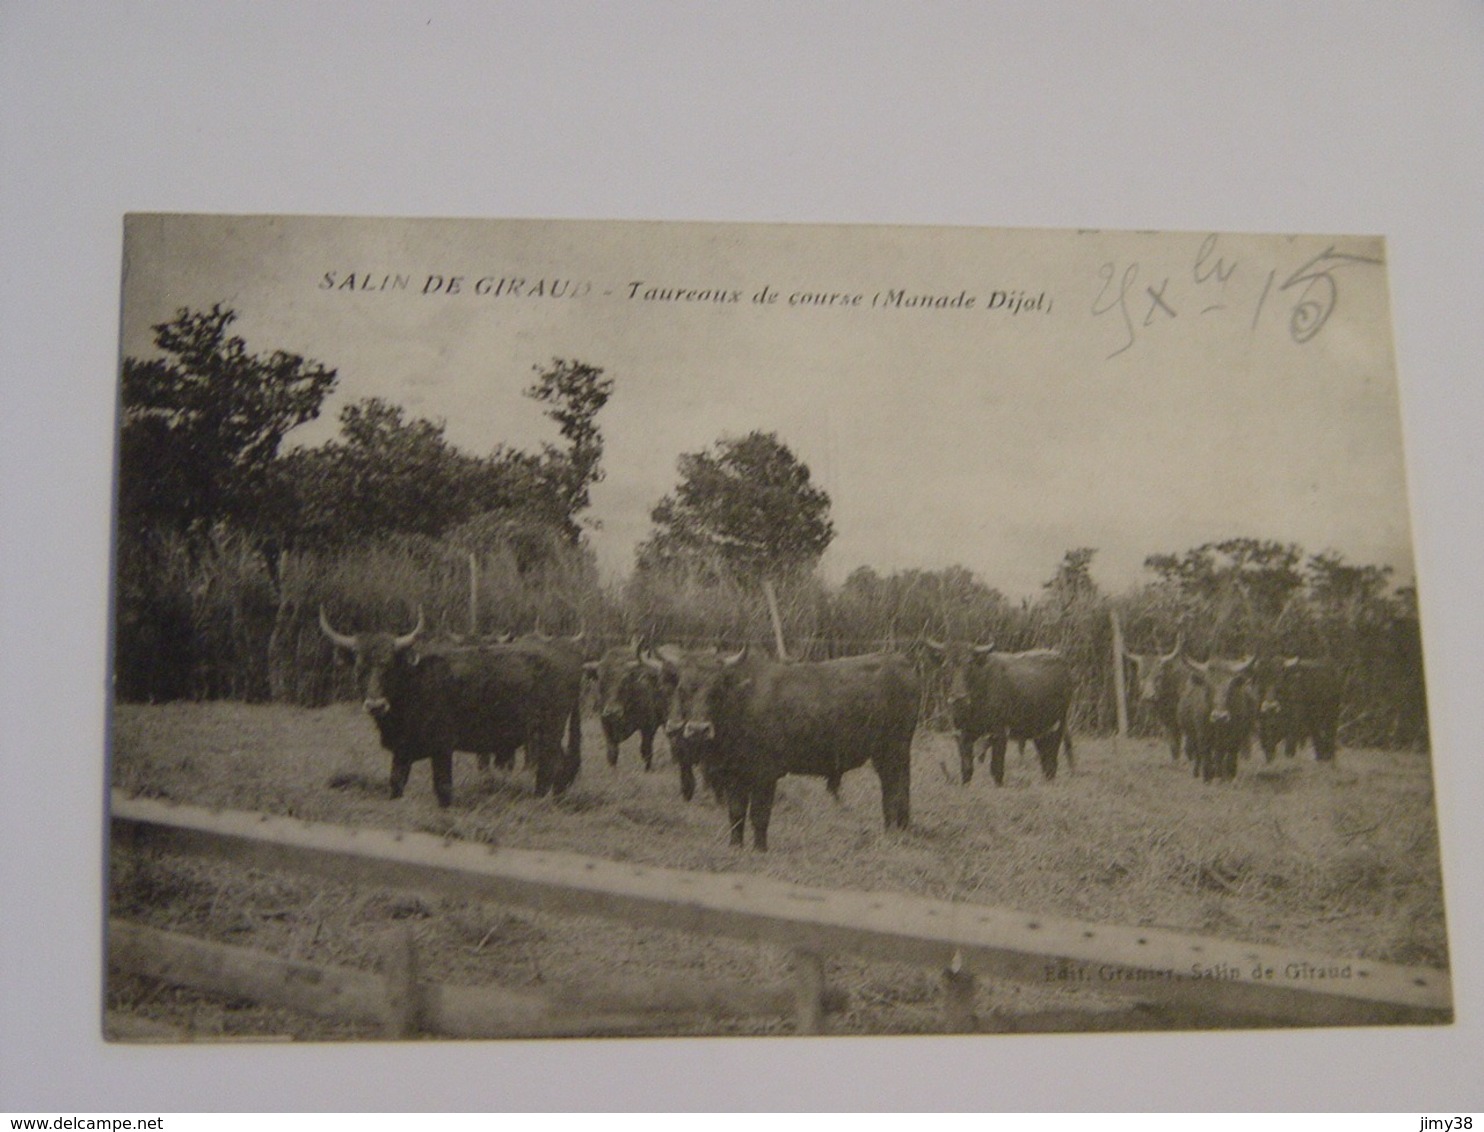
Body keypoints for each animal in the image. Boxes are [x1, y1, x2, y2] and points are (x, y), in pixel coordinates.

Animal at [319, 611, 578, 807]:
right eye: (360, 667)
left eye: (389, 665)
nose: (376, 704)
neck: (415, 685)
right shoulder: (401, 752)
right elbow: (396, 783)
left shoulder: (442, 748)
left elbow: (443, 787)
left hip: (548, 732)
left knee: (551, 764)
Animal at [649, 646, 914, 848]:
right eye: (683, 690)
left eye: (716, 690)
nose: (698, 729)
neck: (743, 702)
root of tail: (900, 660)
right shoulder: (734, 775)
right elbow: (736, 813)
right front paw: (735, 845)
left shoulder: (765, 775)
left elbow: (759, 815)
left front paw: (760, 848)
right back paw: (898, 827)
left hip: (894, 752)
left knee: (895, 789)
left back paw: (894, 832)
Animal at [920, 640, 1074, 795]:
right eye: (946, 666)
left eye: (970, 664)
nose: (959, 698)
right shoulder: (962, 734)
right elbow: (967, 768)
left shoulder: (999, 733)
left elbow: (996, 768)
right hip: (1040, 732)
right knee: (1045, 760)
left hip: (1058, 727)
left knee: (1052, 761)